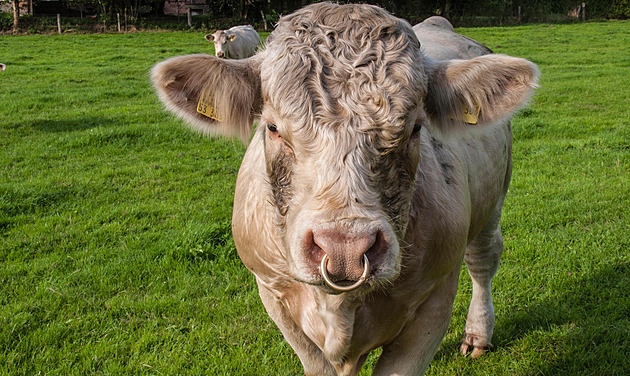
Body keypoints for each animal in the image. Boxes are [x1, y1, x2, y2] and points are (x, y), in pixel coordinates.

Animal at [152, 3, 540, 376]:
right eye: (272, 128)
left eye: (416, 128)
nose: (344, 249)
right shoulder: (272, 292)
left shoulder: (435, 298)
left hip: (493, 202)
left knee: (483, 260)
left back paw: (477, 334)